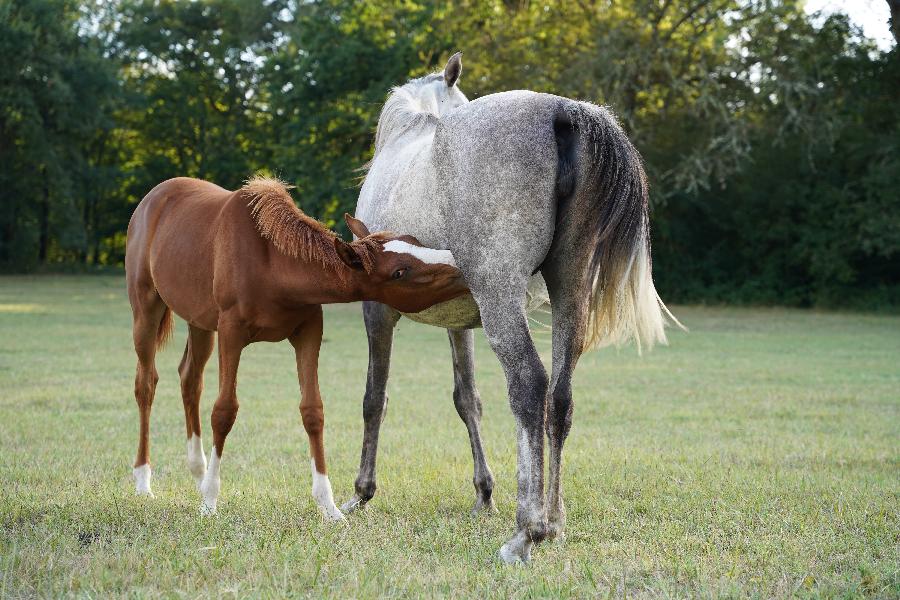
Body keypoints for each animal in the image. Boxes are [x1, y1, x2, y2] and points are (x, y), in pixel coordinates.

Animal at [125, 176, 464, 516]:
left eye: (415, 240)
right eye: (399, 272)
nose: (459, 267)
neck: (270, 262)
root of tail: (154, 197)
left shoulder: (308, 331)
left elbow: (312, 411)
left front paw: (329, 508)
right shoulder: (231, 334)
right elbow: (224, 411)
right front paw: (209, 502)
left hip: (200, 323)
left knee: (190, 379)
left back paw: (198, 471)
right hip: (147, 310)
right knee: (146, 384)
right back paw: (143, 482)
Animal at [342, 51, 680, 564]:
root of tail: (562, 111)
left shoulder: (377, 311)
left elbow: (373, 399)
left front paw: (362, 492)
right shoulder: (459, 322)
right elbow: (467, 399)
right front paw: (484, 492)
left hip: (500, 297)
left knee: (528, 384)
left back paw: (528, 529)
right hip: (568, 291)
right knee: (559, 396)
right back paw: (553, 520)